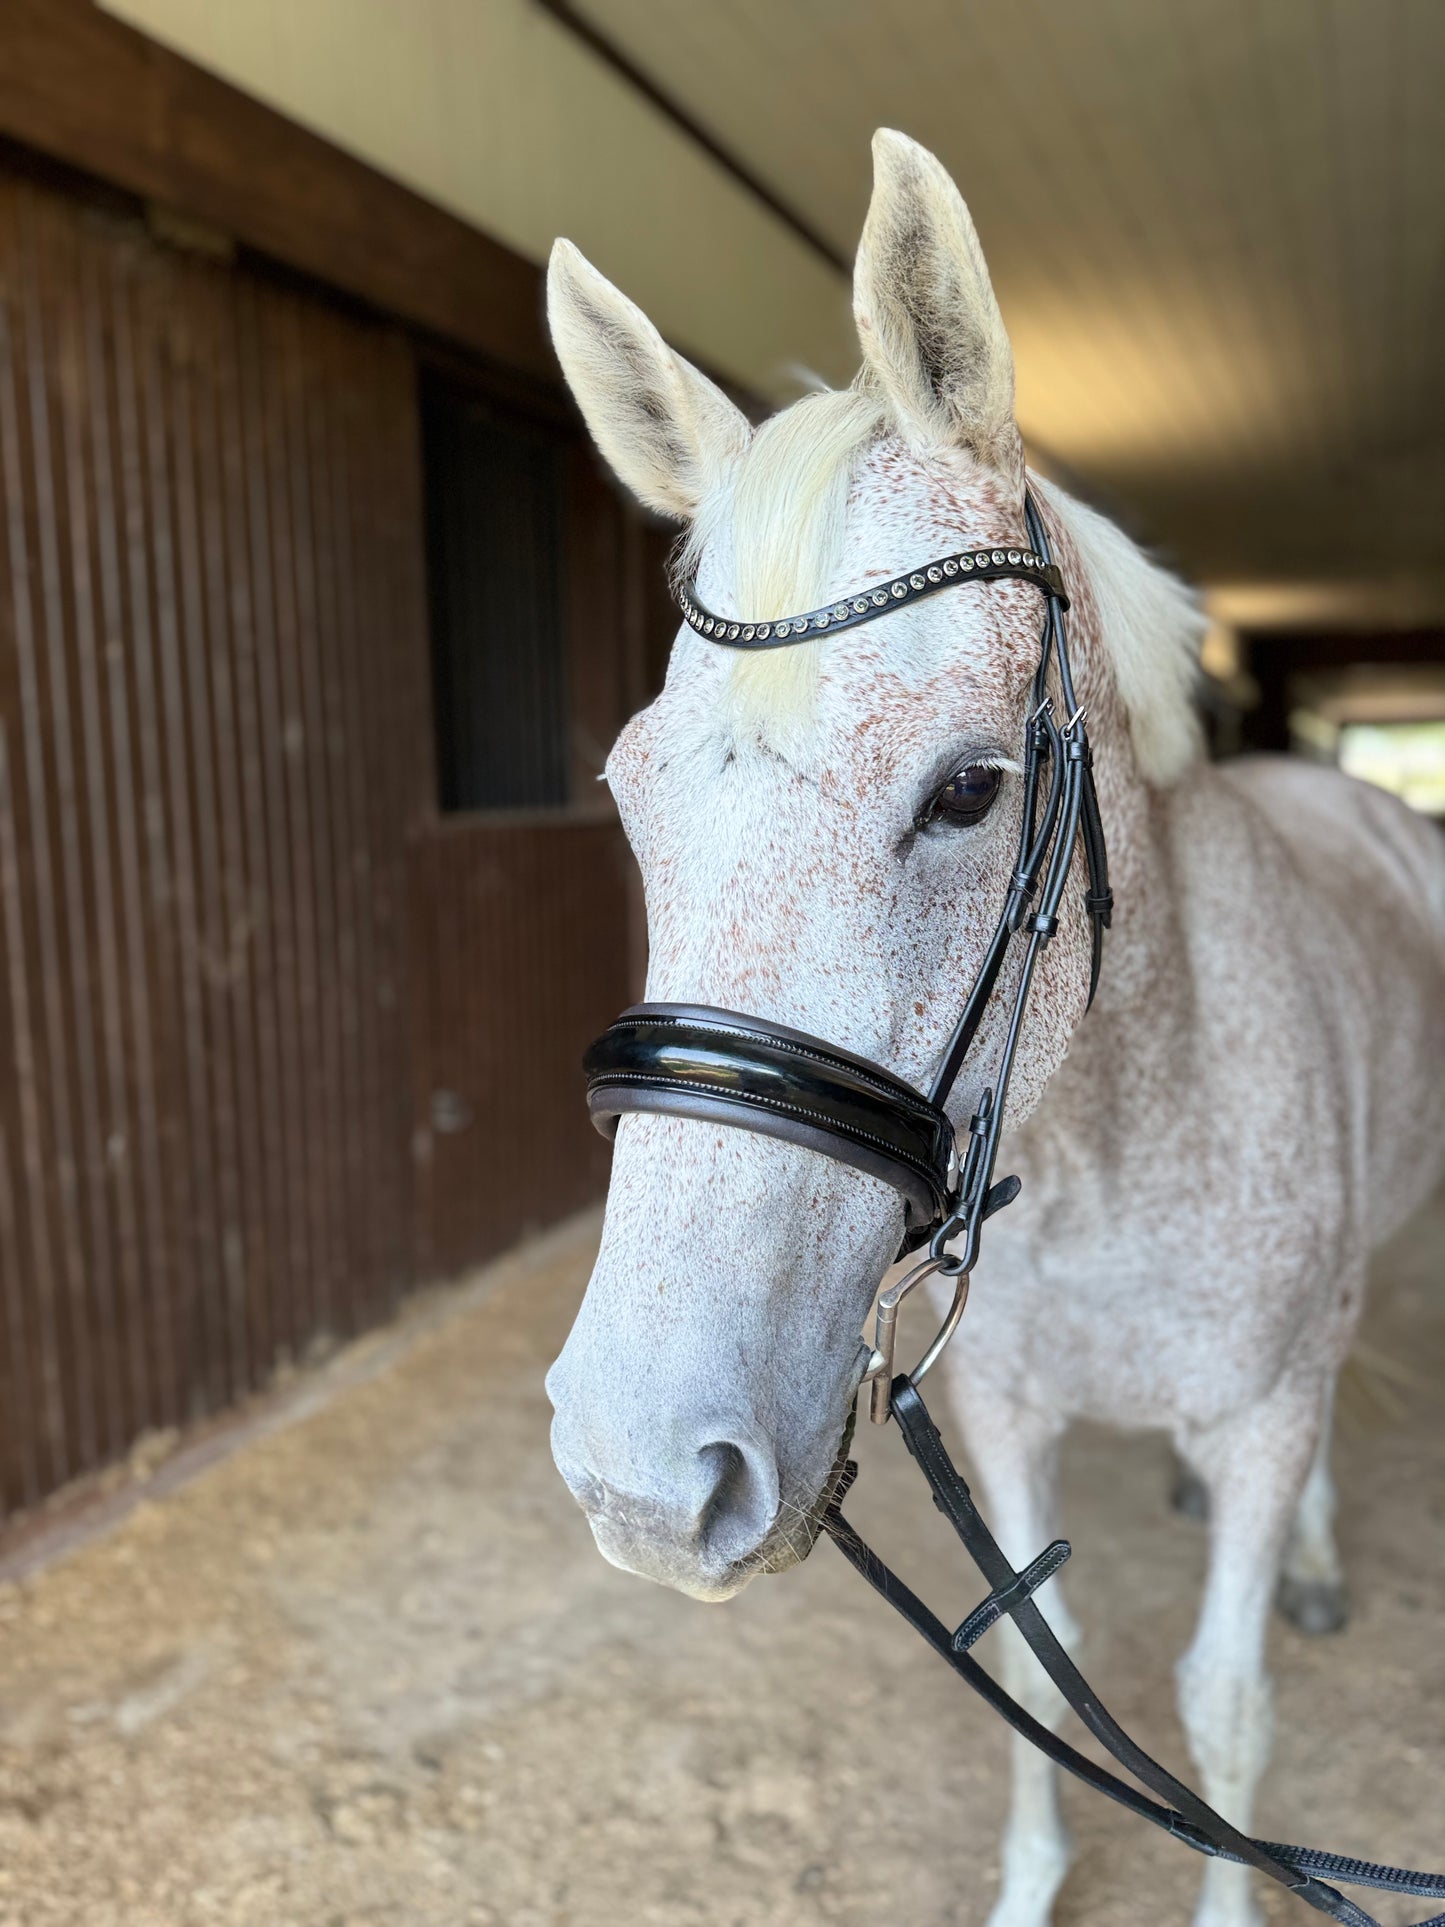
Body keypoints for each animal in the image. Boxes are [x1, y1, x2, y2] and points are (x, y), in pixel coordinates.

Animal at [539, 128, 1445, 1919]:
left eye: (970, 788)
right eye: (628, 791)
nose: (637, 1469)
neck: (1114, 1146)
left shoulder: (1261, 1413)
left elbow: (1221, 1714)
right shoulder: (1005, 1420)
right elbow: (1039, 1665)